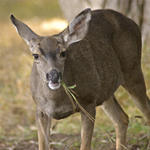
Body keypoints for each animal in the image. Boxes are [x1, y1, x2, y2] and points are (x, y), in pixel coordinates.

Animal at [10, 8, 150, 150]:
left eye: (63, 53)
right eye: (35, 55)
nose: (54, 75)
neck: (56, 102)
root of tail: (132, 22)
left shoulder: (88, 102)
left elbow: (85, 145)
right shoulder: (40, 110)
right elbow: (43, 146)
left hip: (132, 70)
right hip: (104, 90)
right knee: (122, 118)